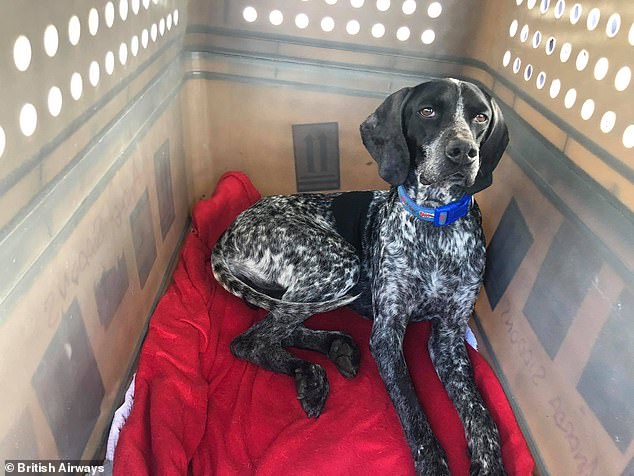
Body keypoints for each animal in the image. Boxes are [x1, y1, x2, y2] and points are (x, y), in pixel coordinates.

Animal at [211, 78, 509, 475]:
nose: (463, 152)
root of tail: (228, 230)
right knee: (251, 339)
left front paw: (490, 462)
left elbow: (480, 412)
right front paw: (432, 462)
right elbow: (412, 408)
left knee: (278, 325)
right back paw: (312, 373)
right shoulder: (387, 334)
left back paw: (335, 347)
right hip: (338, 265)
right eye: (427, 111)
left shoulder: (448, 338)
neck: (436, 225)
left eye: (480, 117)